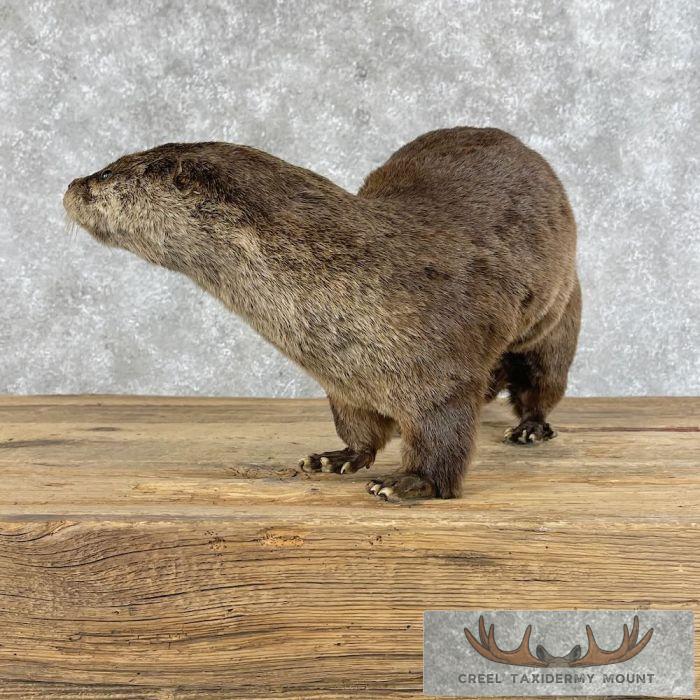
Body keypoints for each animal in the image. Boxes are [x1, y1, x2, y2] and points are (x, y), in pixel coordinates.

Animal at [64, 127, 581, 501]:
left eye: (106, 175)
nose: (71, 184)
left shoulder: (444, 377)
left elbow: (443, 445)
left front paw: (410, 483)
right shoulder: (344, 383)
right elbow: (359, 430)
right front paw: (339, 457)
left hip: (560, 315)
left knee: (543, 383)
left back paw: (530, 429)